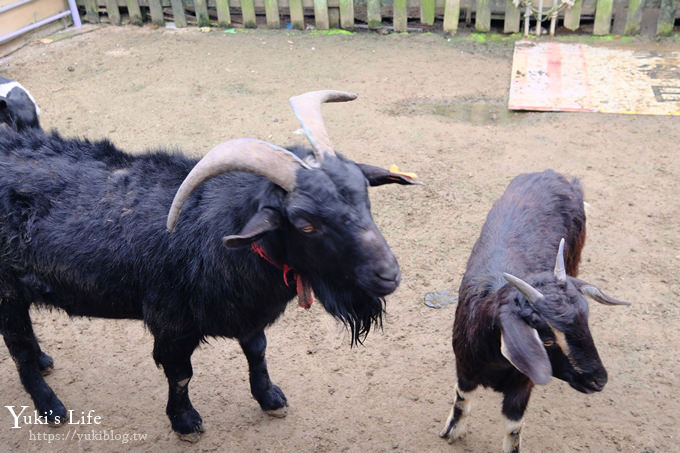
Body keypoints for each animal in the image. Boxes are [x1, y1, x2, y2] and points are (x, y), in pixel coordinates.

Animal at [440, 170, 628, 452]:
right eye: (547, 339)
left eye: (585, 321)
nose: (599, 380)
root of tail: (557, 176)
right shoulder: (464, 366)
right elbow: (462, 399)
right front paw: (451, 431)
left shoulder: (522, 385)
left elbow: (513, 429)